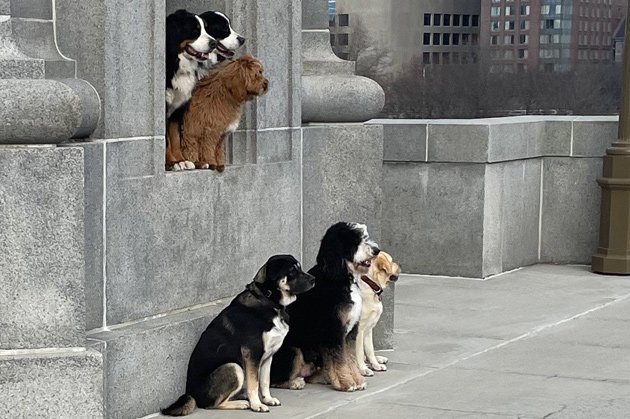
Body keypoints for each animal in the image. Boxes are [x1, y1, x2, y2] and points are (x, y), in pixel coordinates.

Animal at [163, 254, 316, 416]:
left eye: (299, 267)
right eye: (292, 271)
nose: (313, 279)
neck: (268, 300)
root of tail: (192, 395)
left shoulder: (268, 356)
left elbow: (265, 381)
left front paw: (267, 399)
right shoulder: (252, 354)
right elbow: (254, 383)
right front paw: (257, 405)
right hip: (233, 367)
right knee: (213, 404)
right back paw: (242, 403)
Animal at [356, 249, 400, 378]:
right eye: (391, 261)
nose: (399, 265)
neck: (371, 284)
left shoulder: (368, 329)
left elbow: (369, 349)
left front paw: (375, 365)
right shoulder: (359, 330)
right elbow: (359, 352)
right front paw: (363, 369)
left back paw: (378, 359)